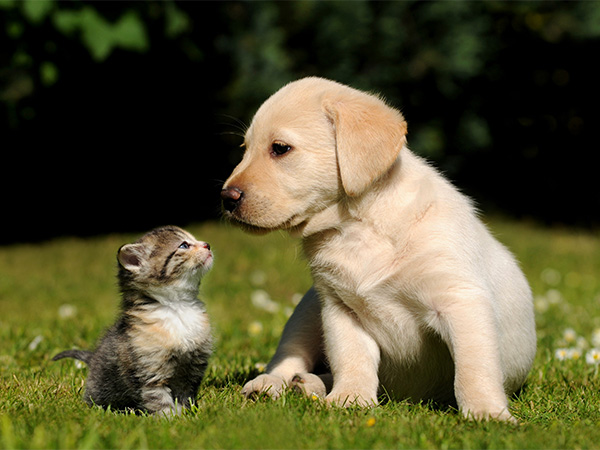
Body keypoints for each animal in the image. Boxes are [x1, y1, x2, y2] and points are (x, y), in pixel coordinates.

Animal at [52, 225, 214, 414]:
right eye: (184, 245)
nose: (207, 244)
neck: (178, 307)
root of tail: (93, 358)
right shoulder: (149, 373)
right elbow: (160, 401)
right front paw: (169, 418)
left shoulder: (191, 370)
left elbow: (185, 397)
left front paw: (187, 415)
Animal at [220, 77, 536, 422]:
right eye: (245, 149)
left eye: (279, 148)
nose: (226, 198)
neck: (358, 227)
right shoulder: (340, 308)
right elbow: (352, 358)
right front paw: (350, 399)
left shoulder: (461, 301)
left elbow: (474, 368)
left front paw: (487, 413)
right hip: (307, 311)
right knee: (288, 357)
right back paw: (274, 384)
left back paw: (308, 384)